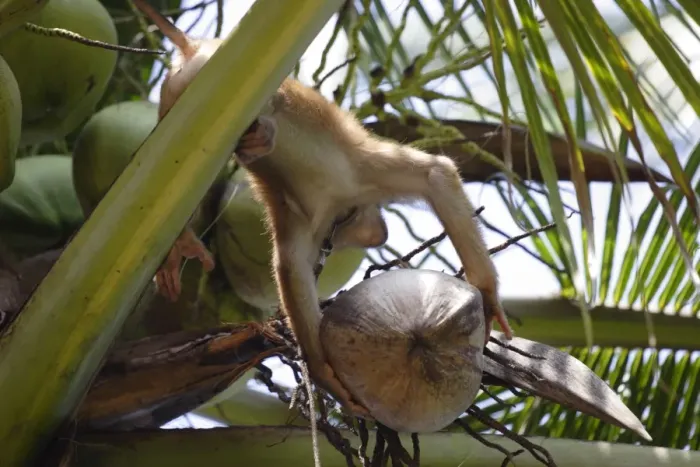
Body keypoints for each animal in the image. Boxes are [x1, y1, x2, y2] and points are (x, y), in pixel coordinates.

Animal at [133, 0, 513, 416]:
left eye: (348, 233)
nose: (371, 232)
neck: (335, 202)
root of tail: (198, 47)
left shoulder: (338, 198)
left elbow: (434, 176)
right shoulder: (353, 180)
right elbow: (436, 174)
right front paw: (488, 297)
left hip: (177, 99)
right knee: (271, 101)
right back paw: (263, 133)